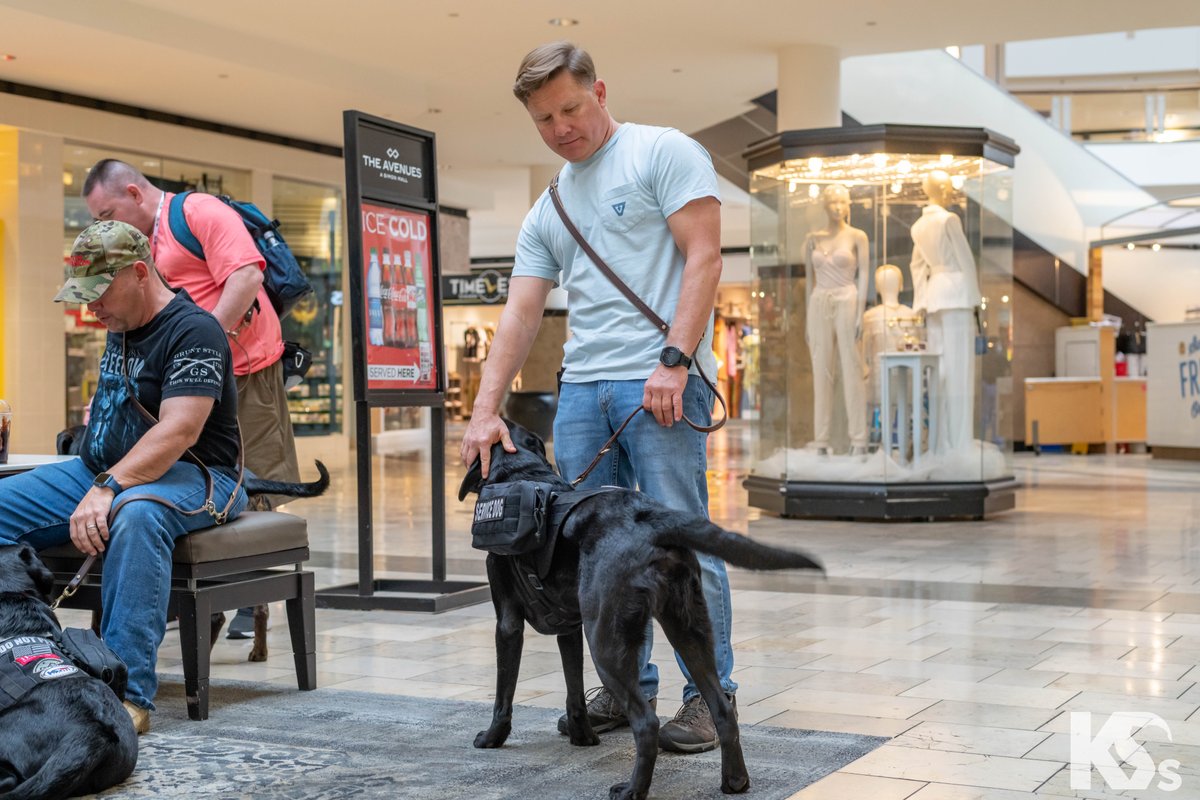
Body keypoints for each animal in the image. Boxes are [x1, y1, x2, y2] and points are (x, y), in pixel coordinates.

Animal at [458, 422, 825, 800]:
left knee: (647, 723)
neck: (522, 472)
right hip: (688, 629)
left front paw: (492, 738)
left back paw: (633, 789)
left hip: (604, 641)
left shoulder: (508, 623)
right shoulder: (570, 630)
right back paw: (734, 781)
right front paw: (583, 737)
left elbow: (503, 693)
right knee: (723, 710)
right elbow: (574, 693)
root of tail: (653, 520)